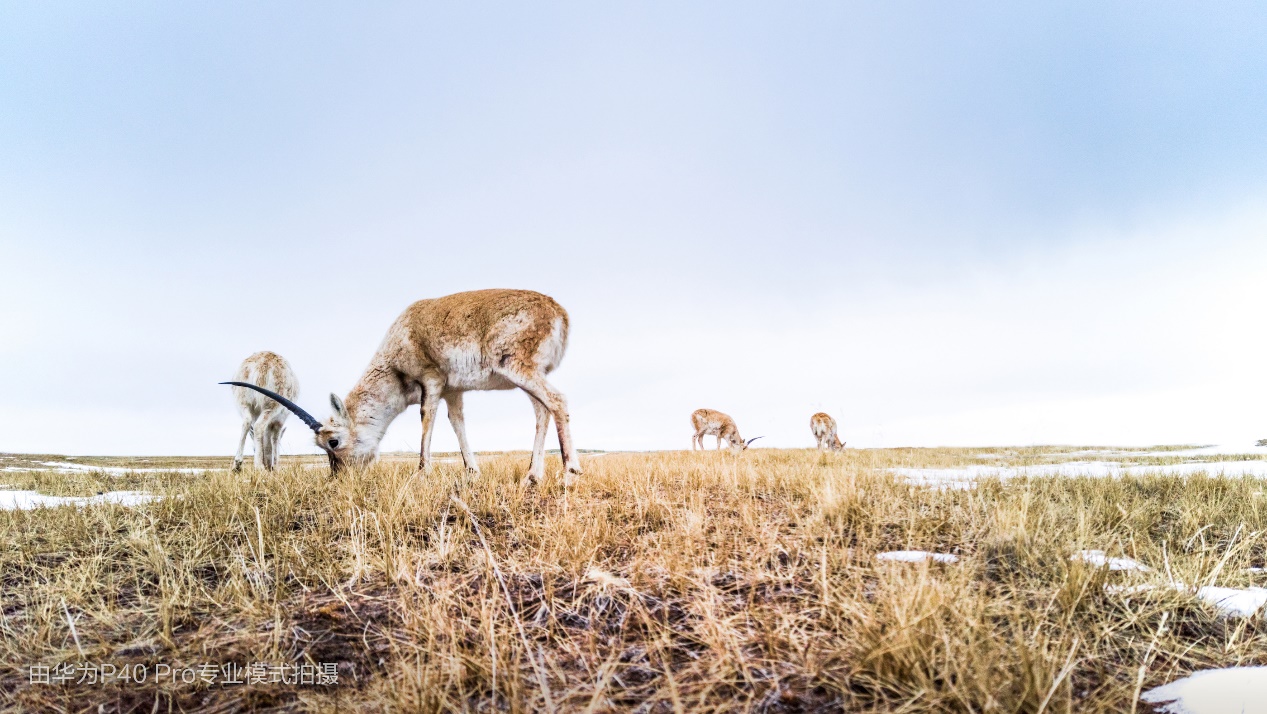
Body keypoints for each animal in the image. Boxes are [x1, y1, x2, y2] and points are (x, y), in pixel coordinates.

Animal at [224, 289, 582, 486]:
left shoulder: (432, 381)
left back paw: (570, 473)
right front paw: (472, 471)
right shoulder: (453, 391)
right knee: (541, 411)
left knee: (558, 401)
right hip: (525, 377)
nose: (339, 478)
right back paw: (532, 476)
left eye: (333, 442)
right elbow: (457, 424)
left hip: (519, 369)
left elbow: (427, 418)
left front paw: (422, 474)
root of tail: (559, 312)